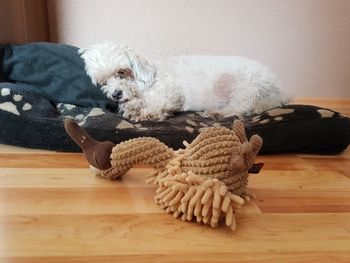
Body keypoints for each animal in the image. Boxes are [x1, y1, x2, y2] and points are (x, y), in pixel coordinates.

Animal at [80, 42, 290, 121]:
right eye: (103, 82)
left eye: (122, 72)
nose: (116, 94)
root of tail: (280, 91)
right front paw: (131, 108)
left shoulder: (170, 94)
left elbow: (158, 105)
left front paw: (146, 113)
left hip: (245, 86)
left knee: (241, 107)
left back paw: (217, 112)